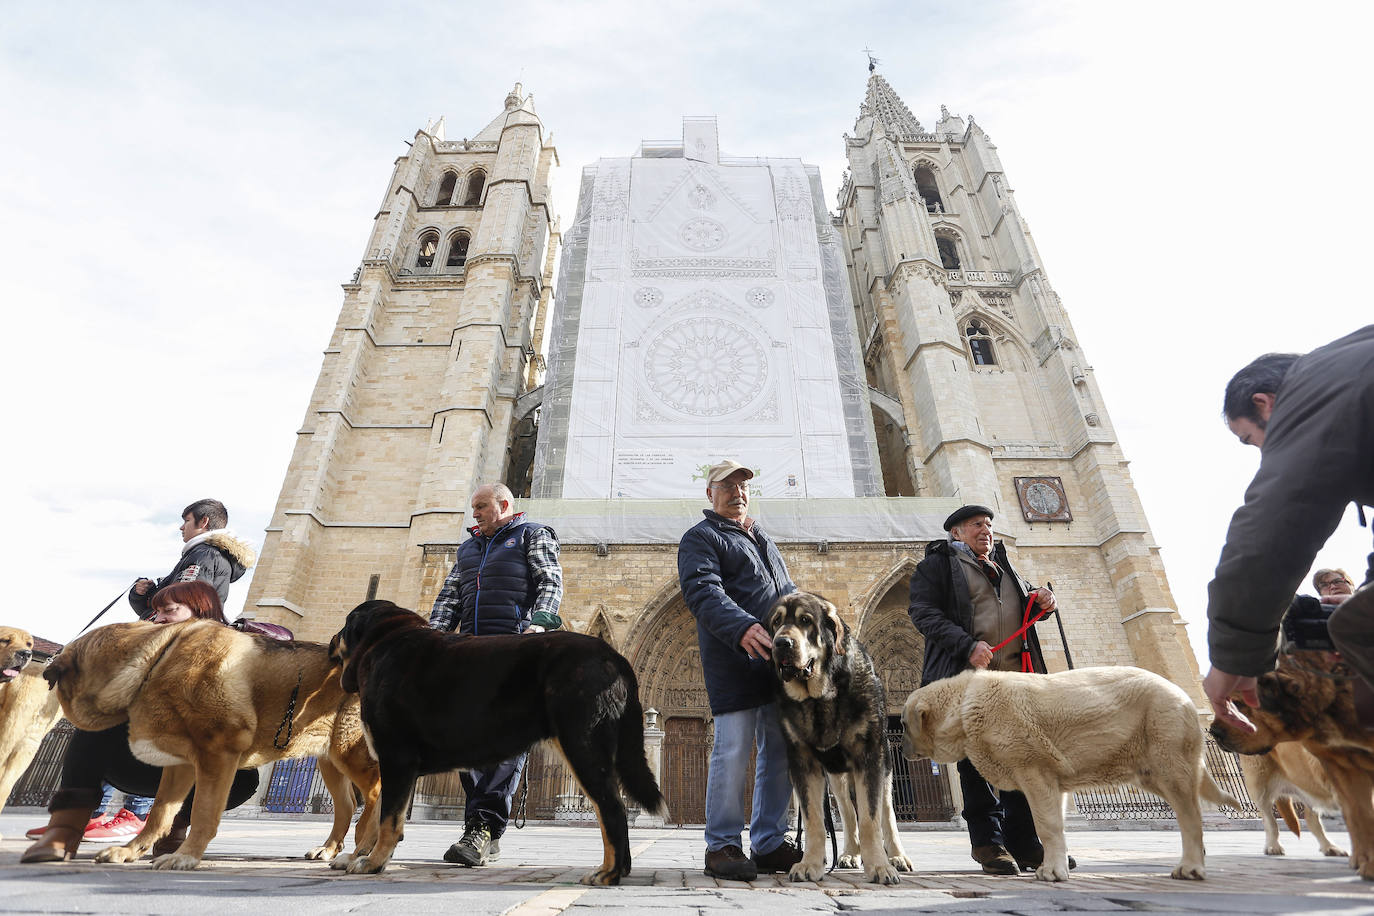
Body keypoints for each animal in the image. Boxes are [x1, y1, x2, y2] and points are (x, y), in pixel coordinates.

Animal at [45, 620, 379, 873]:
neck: (158, 657)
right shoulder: (179, 766)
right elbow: (159, 813)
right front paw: (132, 851)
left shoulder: (218, 755)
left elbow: (204, 813)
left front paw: (185, 856)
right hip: (331, 760)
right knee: (348, 805)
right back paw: (330, 849)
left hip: (351, 754)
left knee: (374, 796)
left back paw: (364, 849)